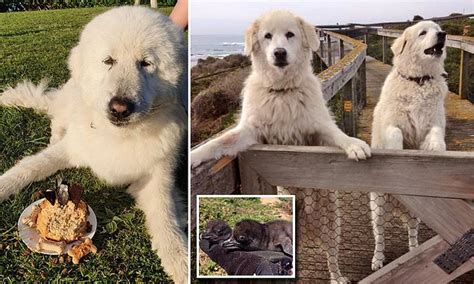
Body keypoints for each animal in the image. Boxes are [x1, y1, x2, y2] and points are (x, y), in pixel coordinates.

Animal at [0, 7, 189, 284]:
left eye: (146, 63)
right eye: (108, 61)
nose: (120, 108)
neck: (119, 136)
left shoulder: (157, 177)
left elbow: (165, 216)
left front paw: (180, 260)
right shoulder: (71, 149)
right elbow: (29, 166)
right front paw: (3, 185)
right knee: (57, 121)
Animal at [191, 8, 372, 282]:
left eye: (290, 34)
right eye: (267, 36)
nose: (279, 52)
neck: (282, 90)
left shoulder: (318, 129)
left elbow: (337, 134)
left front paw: (354, 144)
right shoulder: (250, 133)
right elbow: (219, 142)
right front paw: (194, 156)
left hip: (331, 223)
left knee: (331, 254)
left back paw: (337, 276)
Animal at [370, 20, 448, 270]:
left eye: (438, 29)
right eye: (423, 33)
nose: (443, 35)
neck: (419, 81)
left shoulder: (434, 122)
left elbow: (436, 133)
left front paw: (437, 149)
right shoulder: (391, 123)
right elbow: (395, 133)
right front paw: (397, 152)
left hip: (415, 215)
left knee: (412, 231)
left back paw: (414, 250)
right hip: (379, 208)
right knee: (380, 236)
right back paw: (378, 259)